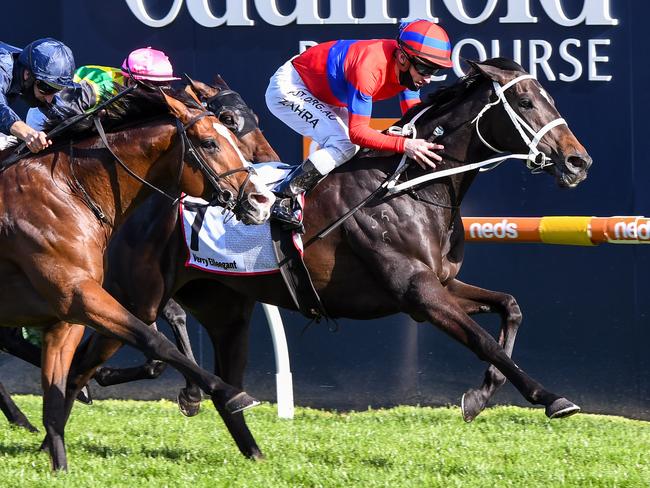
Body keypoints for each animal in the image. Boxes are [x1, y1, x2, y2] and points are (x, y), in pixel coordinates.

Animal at [0, 86, 274, 468]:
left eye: (231, 134)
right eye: (209, 143)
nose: (263, 200)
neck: (68, 189)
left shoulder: (66, 315)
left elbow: (55, 400)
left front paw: (59, 467)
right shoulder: (81, 296)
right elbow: (153, 340)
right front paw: (228, 392)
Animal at [45, 59, 592, 460]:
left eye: (549, 98)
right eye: (525, 101)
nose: (578, 161)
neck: (409, 187)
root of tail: (134, 196)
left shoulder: (441, 283)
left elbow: (509, 307)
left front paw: (480, 397)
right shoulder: (416, 293)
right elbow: (484, 340)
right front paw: (551, 398)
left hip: (225, 308)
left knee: (223, 387)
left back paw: (250, 452)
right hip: (139, 299)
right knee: (87, 363)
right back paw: (58, 438)